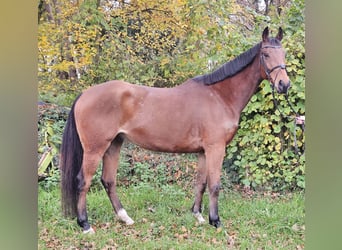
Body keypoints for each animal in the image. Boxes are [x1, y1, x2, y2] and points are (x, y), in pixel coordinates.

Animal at [60, 26, 290, 233]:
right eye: (266, 54)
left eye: (284, 54)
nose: (284, 85)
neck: (220, 96)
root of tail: (84, 95)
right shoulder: (216, 148)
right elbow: (215, 185)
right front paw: (215, 221)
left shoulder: (203, 151)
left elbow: (201, 183)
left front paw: (198, 216)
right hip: (95, 148)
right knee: (83, 181)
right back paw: (85, 224)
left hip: (114, 144)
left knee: (108, 180)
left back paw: (125, 218)